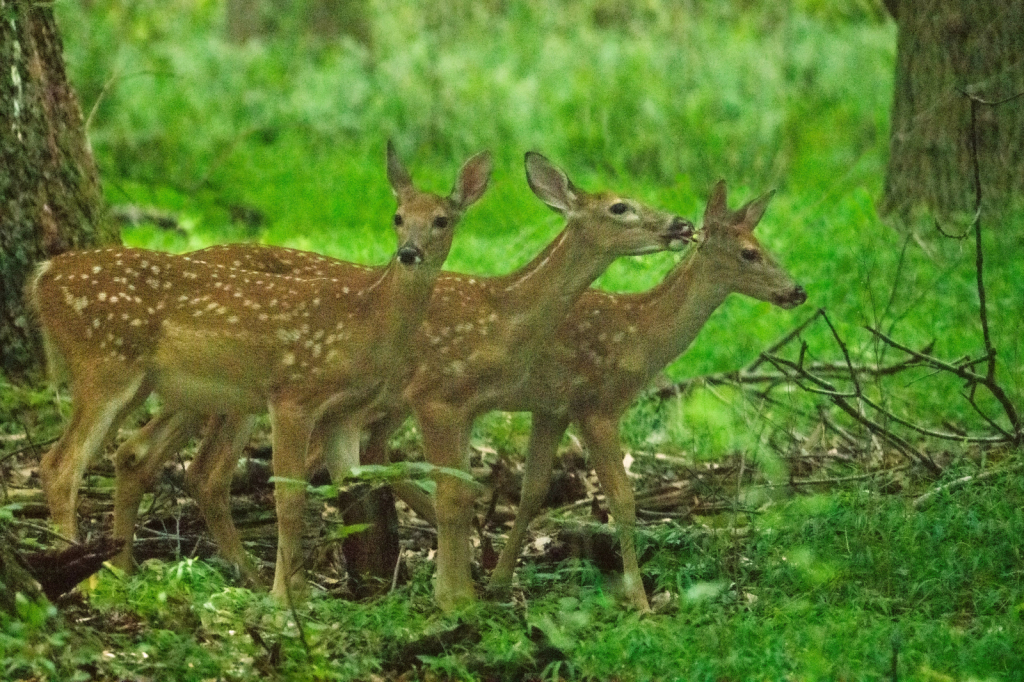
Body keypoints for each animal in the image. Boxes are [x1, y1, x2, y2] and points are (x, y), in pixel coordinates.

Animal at [29, 140, 493, 598]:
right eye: (398, 217)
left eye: (441, 220)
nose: (409, 253)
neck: (364, 320)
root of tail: (44, 274)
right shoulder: (295, 395)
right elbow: (292, 496)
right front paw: (287, 598)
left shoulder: (350, 411)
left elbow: (362, 485)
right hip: (108, 367)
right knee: (65, 466)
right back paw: (87, 582)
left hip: (162, 386)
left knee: (135, 456)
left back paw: (125, 571)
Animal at [96, 151, 692, 606]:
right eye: (621, 206)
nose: (681, 225)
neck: (502, 311)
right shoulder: (433, 396)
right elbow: (449, 491)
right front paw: (456, 595)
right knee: (201, 468)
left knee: (158, 457)